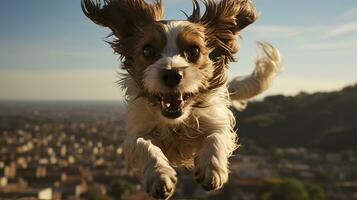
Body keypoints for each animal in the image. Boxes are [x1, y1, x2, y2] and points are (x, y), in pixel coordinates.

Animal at [81, 0, 280, 198]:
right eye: (148, 50)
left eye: (194, 50)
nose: (171, 74)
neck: (176, 123)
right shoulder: (137, 131)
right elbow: (144, 145)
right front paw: (159, 175)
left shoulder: (217, 122)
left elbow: (215, 137)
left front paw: (211, 169)